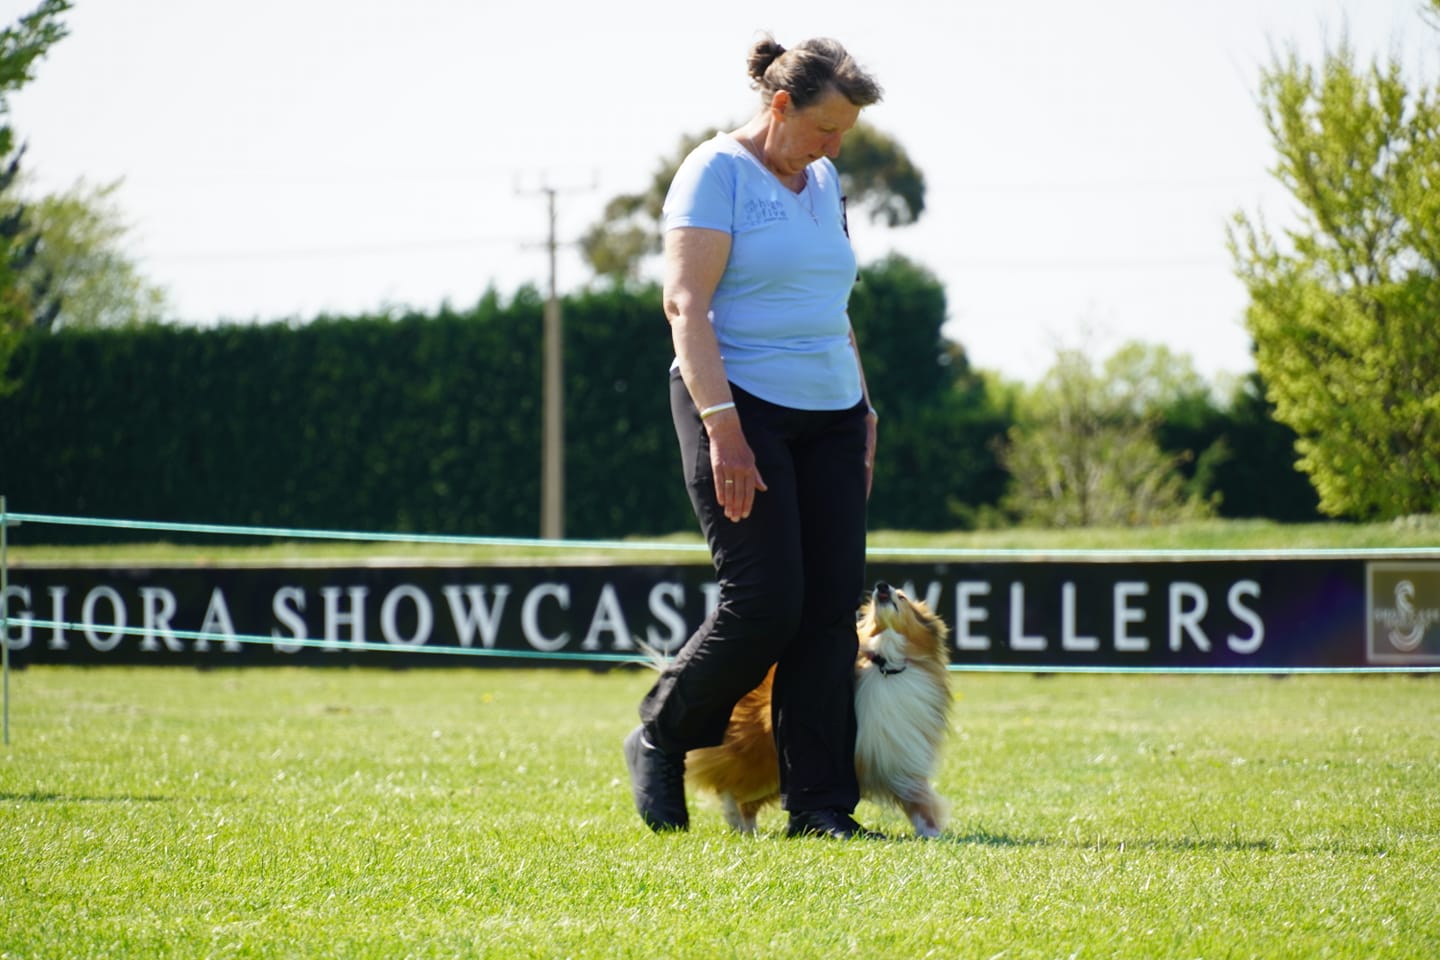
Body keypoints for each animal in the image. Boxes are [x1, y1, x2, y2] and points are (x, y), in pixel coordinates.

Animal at [685, 581, 953, 837]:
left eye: (903, 596)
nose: (881, 586)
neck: (885, 665)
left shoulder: (896, 755)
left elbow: (918, 801)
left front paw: (932, 834)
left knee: (744, 797)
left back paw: (748, 829)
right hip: (760, 757)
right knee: (729, 783)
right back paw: (739, 821)